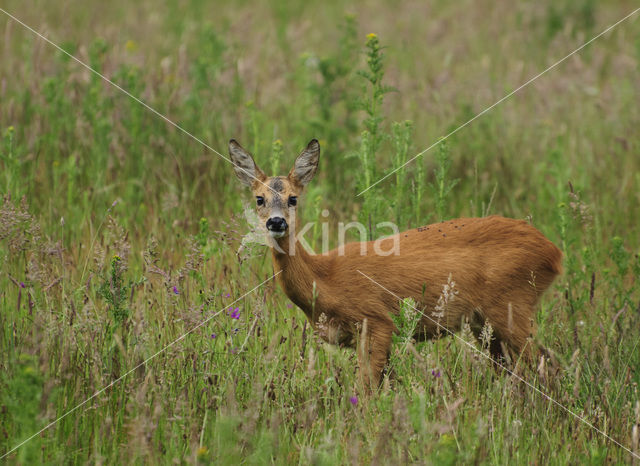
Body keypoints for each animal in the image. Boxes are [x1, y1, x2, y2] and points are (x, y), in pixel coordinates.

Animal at [229, 137, 560, 386]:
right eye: (259, 198)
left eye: (293, 198)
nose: (276, 222)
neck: (324, 279)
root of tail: (554, 252)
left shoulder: (376, 320)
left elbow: (367, 390)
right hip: (487, 325)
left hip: (512, 305)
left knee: (545, 363)